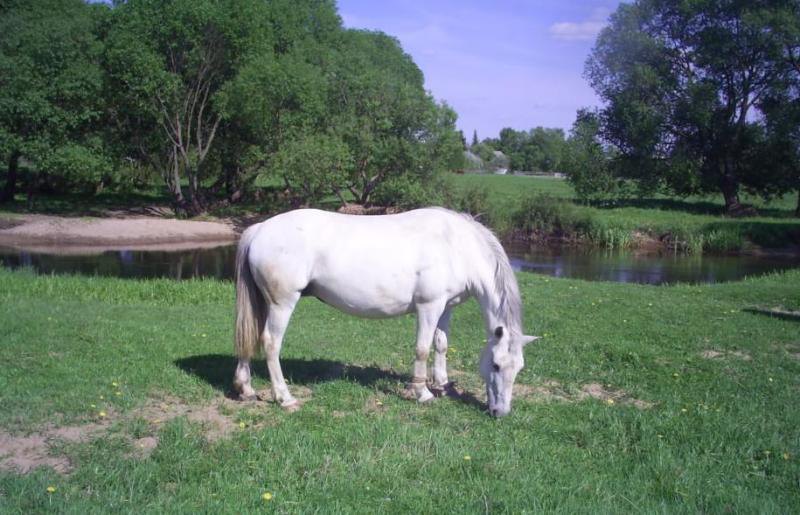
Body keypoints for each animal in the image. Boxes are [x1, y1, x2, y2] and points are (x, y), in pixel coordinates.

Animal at [233, 208, 536, 418]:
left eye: (519, 368)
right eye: (495, 365)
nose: (500, 412)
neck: (456, 246)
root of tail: (260, 229)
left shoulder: (446, 307)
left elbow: (441, 345)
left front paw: (442, 384)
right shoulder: (429, 306)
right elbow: (422, 349)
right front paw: (423, 392)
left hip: (263, 303)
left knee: (250, 338)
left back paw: (246, 389)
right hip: (282, 304)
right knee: (271, 343)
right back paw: (285, 398)